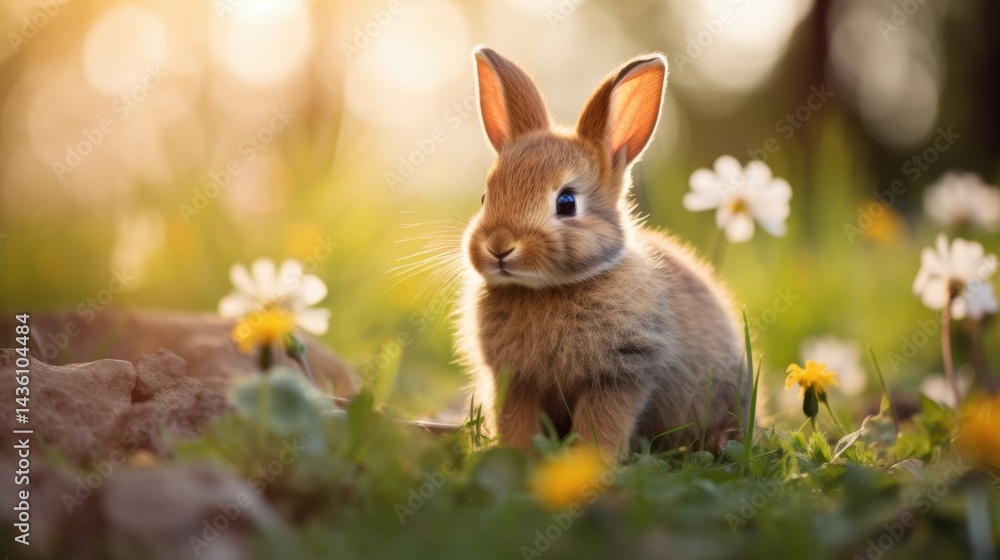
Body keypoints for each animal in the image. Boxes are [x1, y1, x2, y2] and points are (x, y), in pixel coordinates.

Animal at [456, 46, 746, 460]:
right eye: (485, 197)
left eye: (566, 202)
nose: (498, 246)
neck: (548, 289)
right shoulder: (516, 382)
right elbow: (518, 423)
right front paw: (520, 459)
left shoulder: (619, 375)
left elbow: (602, 426)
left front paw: (589, 465)